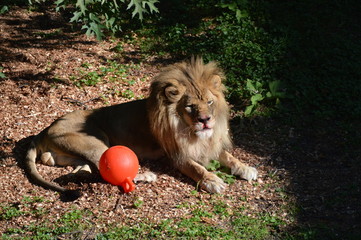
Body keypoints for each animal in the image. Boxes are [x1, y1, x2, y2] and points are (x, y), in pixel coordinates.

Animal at [24, 57, 256, 200]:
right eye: (190, 106)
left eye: (209, 102)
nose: (206, 120)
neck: (192, 132)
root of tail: (45, 129)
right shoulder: (176, 155)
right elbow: (197, 168)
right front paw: (212, 180)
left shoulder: (209, 144)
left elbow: (228, 156)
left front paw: (246, 168)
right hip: (95, 140)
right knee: (107, 170)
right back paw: (146, 175)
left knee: (80, 169)